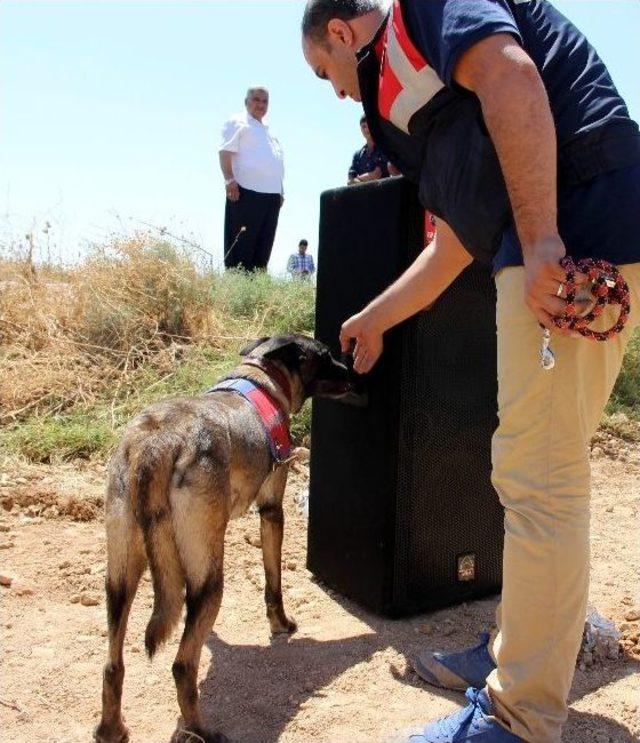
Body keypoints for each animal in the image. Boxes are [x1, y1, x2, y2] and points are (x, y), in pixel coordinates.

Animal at [95, 336, 364, 743]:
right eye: (325, 355)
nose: (352, 371)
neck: (261, 375)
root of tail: (158, 443)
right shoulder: (272, 510)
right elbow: (273, 582)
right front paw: (281, 624)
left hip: (121, 576)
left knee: (113, 664)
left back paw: (111, 728)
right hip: (209, 580)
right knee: (182, 665)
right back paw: (200, 729)